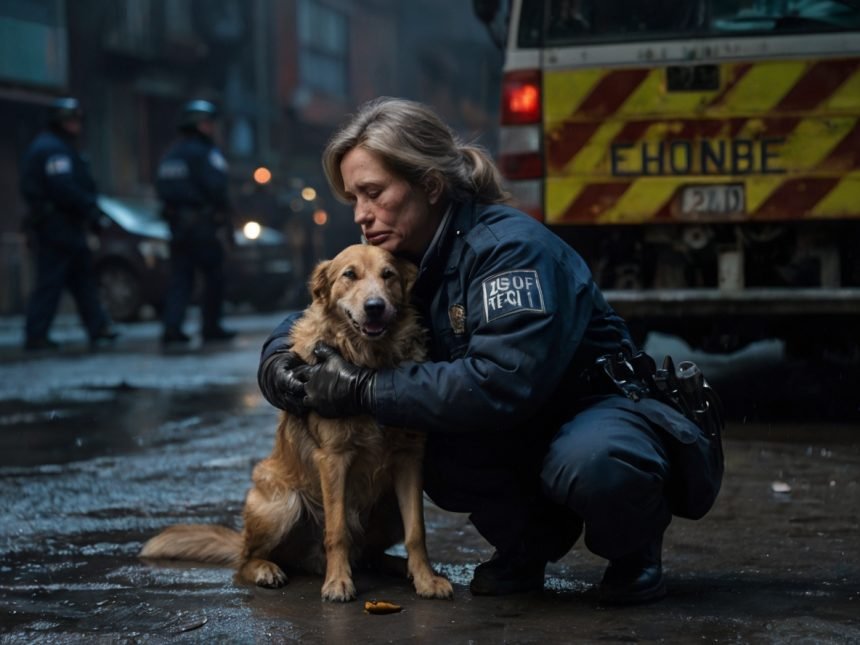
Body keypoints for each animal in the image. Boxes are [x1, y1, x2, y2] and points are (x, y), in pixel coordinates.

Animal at [140, 244, 450, 600]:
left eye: (389, 275)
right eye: (350, 275)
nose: (375, 307)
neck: (368, 368)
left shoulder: (409, 459)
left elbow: (417, 531)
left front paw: (425, 578)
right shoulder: (333, 459)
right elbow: (337, 531)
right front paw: (338, 582)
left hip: (388, 509)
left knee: (371, 555)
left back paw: (400, 568)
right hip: (283, 505)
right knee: (246, 559)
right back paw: (267, 569)